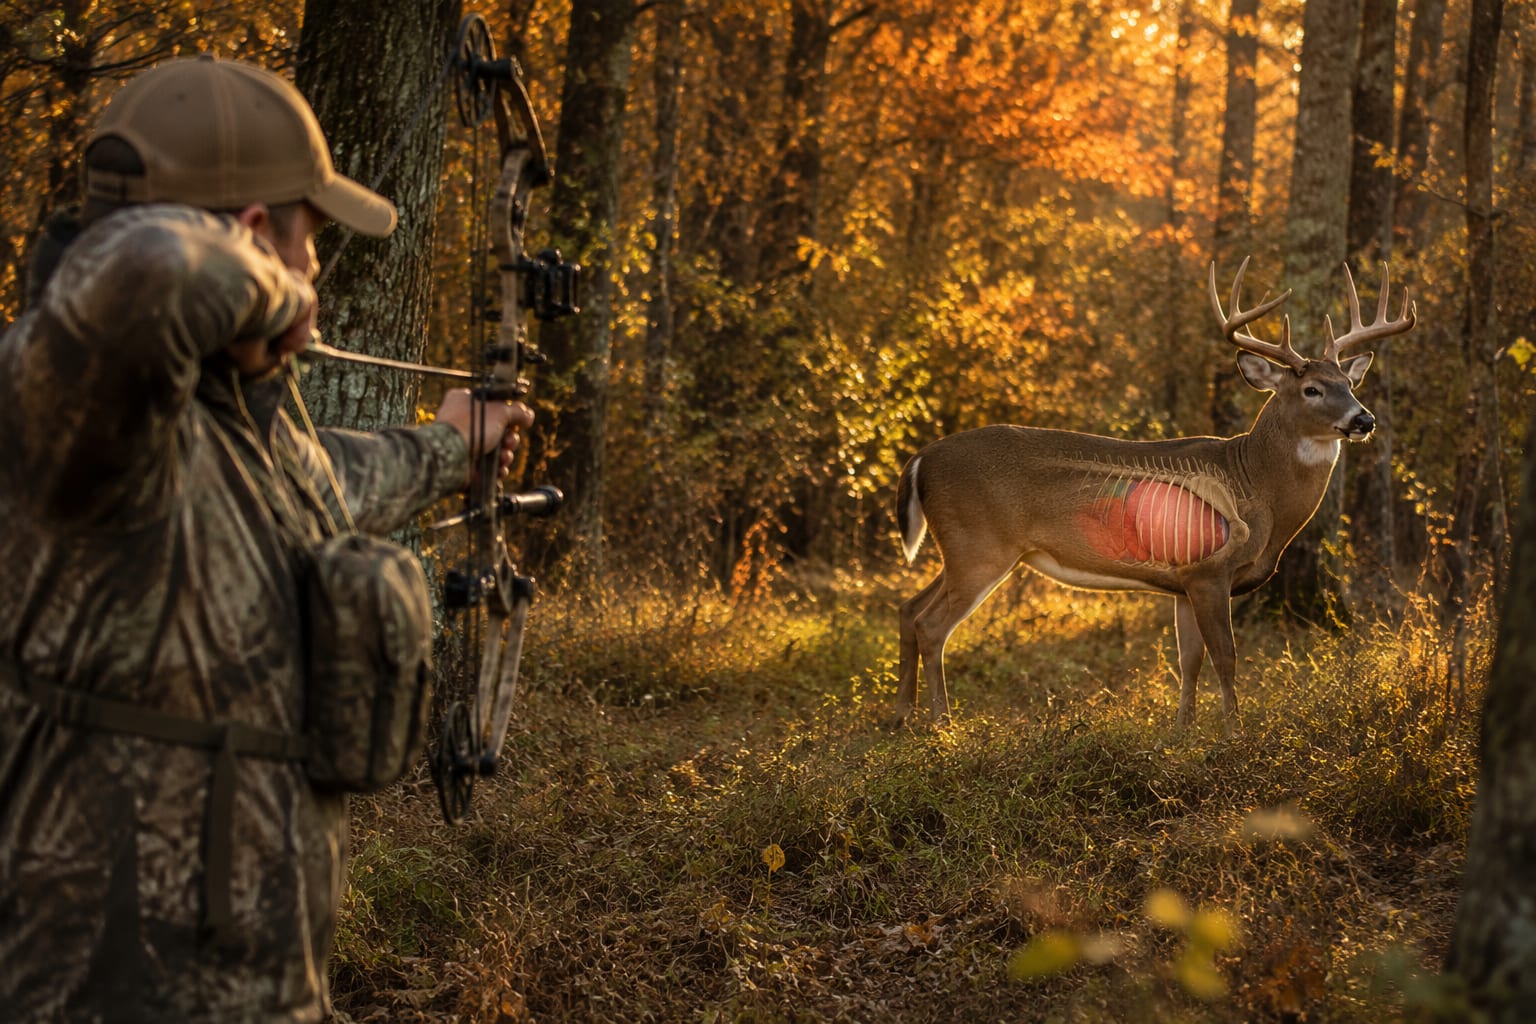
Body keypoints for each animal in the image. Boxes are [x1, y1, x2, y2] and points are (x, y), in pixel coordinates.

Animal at [894, 259, 1416, 737]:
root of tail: (921, 457)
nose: (1364, 419)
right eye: (1311, 389)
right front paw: (1234, 735)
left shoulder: (1183, 581)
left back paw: (905, 720)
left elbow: (1190, 660)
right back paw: (942, 726)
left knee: (908, 608)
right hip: (980, 545)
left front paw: (1181, 733)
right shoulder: (1209, 570)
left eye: (1350, 383)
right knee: (932, 625)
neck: (1256, 485)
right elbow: (1226, 657)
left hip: (961, 548)